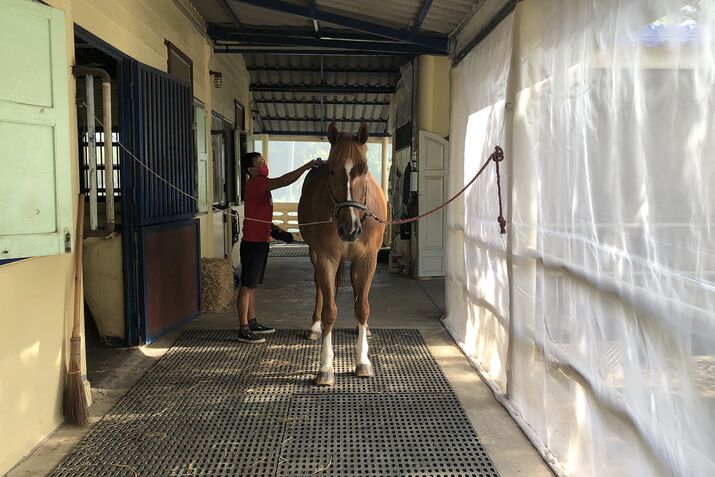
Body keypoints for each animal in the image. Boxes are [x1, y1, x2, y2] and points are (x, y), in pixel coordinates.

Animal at [298, 122, 387, 386]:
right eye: (331, 171)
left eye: (364, 169)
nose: (350, 229)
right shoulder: (326, 258)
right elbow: (330, 311)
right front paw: (325, 366)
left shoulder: (368, 259)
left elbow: (363, 307)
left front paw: (363, 360)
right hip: (315, 256)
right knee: (319, 285)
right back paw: (315, 326)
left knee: (359, 292)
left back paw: (363, 328)